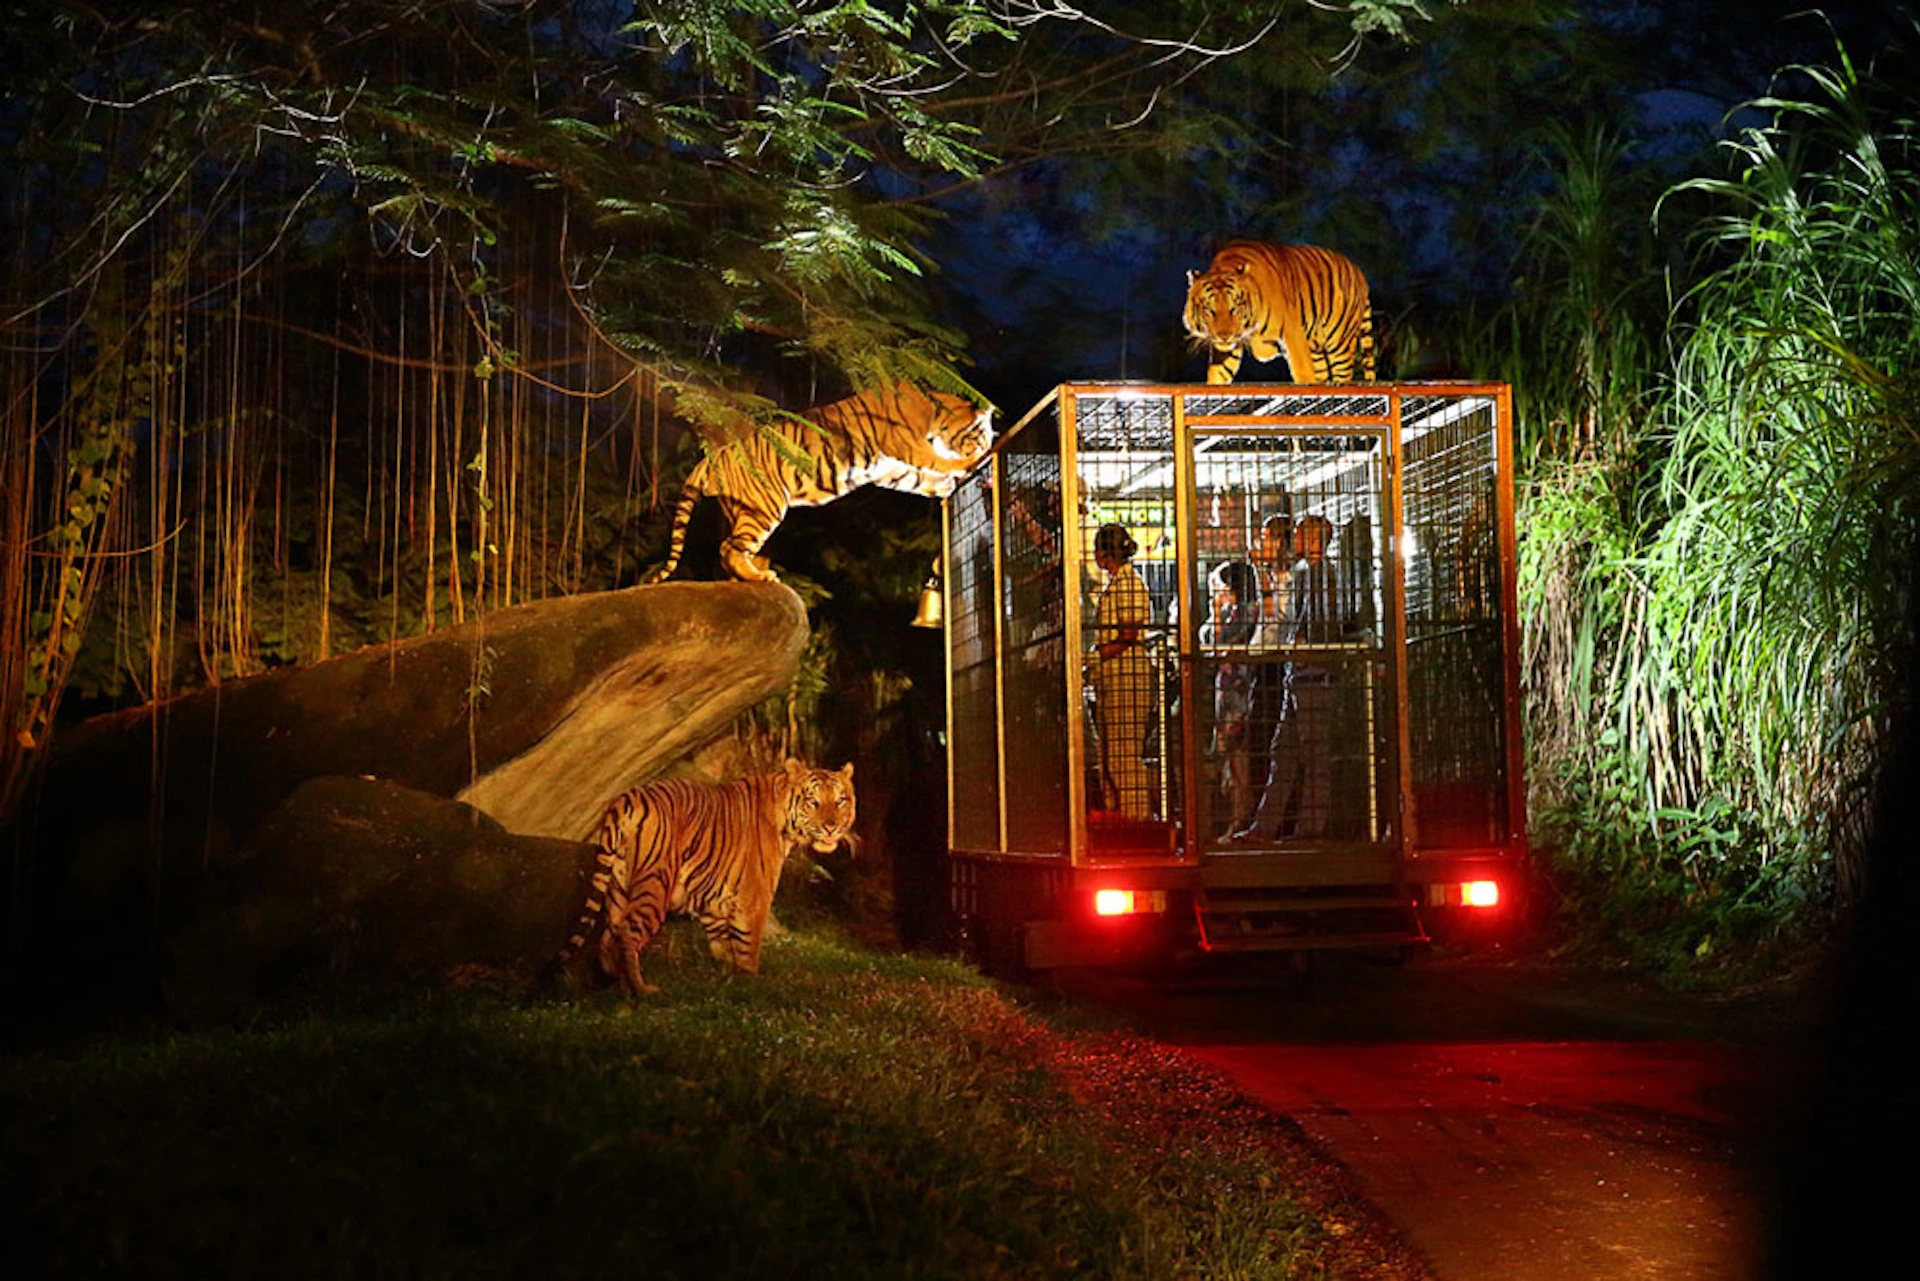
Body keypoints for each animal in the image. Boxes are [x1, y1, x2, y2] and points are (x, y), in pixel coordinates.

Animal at [554, 759, 856, 994]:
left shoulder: (715, 901)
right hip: (655, 885)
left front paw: (725, 980)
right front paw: (751, 984)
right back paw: (642, 989)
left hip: (619, 886)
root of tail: (628, 797)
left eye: (840, 800)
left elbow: (722, 945)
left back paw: (613, 979)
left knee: (608, 935)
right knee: (627, 934)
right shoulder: (753, 900)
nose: (832, 828)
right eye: (813, 801)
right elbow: (748, 947)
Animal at [646, 381, 993, 583]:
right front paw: (966, 464)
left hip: (743, 509)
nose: (989, 445)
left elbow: (918, 478)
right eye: (983, 435)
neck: (935, 414)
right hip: (765, 507)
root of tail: (714, 456)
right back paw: (761, 577)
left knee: (730, 548)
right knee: (729, 548)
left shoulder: (888, 468)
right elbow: (937, 462)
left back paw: (752, 575)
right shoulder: (907, 446)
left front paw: (944, 485)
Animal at [1182, 240, 1377, 386]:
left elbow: (1303, 375)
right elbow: (1217, 376)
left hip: (1340, 343)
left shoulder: (1293, 336)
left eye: (1234, 308)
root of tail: (1359, 272)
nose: (1224, 336)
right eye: (1209, 309)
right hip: (1317, 350)